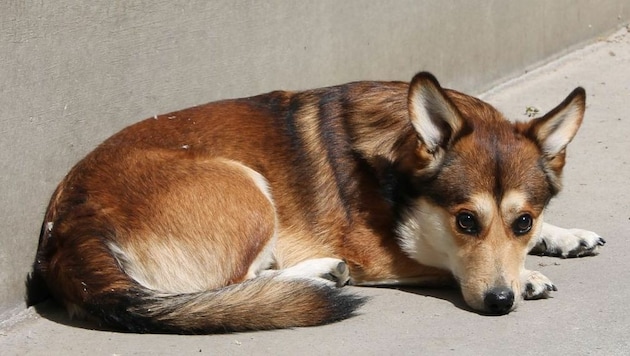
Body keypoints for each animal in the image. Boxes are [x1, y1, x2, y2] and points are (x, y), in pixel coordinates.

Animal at [28, 71, 608, 334]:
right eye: (466, 221)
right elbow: (445, 263)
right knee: (229, 286)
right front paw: (528, 276)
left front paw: (562, 236)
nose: (500, 302)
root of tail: (68, 226)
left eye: (522, 221)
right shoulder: (385, 254)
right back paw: (318, 275)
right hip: (245, 189)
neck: (397, 163)